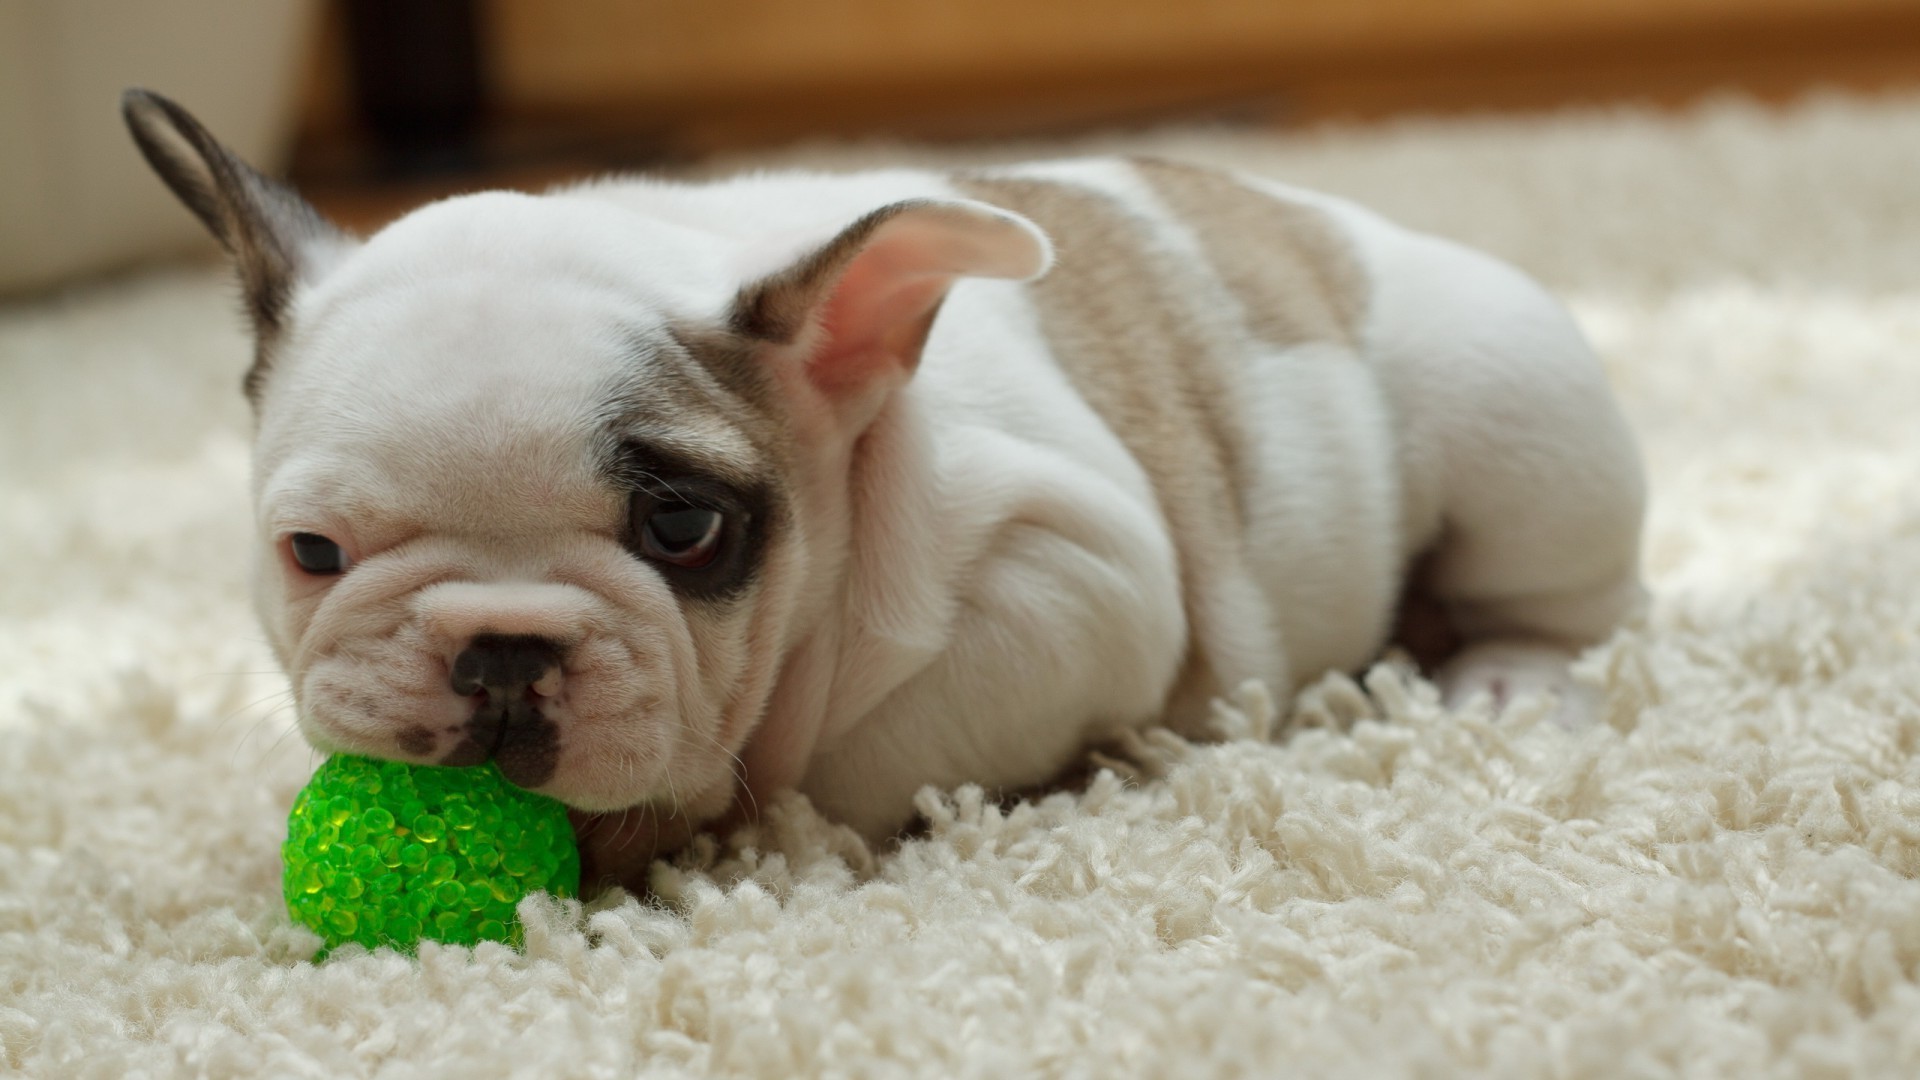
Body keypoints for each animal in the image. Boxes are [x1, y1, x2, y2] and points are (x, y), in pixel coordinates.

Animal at [123, 90, 1651, 883]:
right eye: (312, 552)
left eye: (684, 528)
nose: (500, 653)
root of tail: (1327, 219)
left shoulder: (1073, 580)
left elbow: (873, 742)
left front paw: (717, 817)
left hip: (1517, 421)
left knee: (1572, 598)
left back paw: (1503, 677)